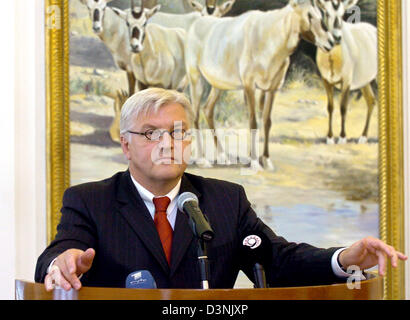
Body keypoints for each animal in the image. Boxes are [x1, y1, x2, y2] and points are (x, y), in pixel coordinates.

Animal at [186, 0, 336, 170]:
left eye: (320, 14)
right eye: (309, 15)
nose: (330, 42)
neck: (269, 36)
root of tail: (198, 23)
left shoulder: (273, 88)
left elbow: (267, 121)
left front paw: (266, 160)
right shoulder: (250, 86)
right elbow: (253, 121)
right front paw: (254, 162)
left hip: (218, 85)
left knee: (208, 109)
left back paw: (223, 156)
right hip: (195, 77)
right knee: (195, 114)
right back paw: (202, 160)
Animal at [314, 0, 378, 144]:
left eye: (343, 14)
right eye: (326, 13)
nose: (337, 38)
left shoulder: (346, 81)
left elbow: (343, 107)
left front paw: (342, 138)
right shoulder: (326, 81)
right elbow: (330, 107)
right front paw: (330, 138)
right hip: (364, 82)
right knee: (371, 101)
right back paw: (363, 137)